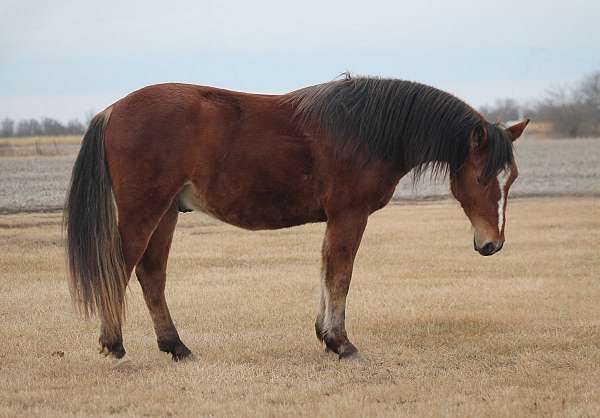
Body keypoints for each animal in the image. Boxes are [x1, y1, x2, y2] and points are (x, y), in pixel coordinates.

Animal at [63, 74, 528, 360]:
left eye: (512, 178)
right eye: (482, 177)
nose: (492, 243)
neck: (366, 130)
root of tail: (112, 110)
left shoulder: (335, 219)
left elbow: (326, 272)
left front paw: (325, 336)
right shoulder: (349, 215)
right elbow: (340, 274)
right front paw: (341, 343)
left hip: (166, 213)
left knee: (152, 274)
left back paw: (176, 346)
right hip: (144, 210)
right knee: (120, 268)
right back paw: (113, 344)